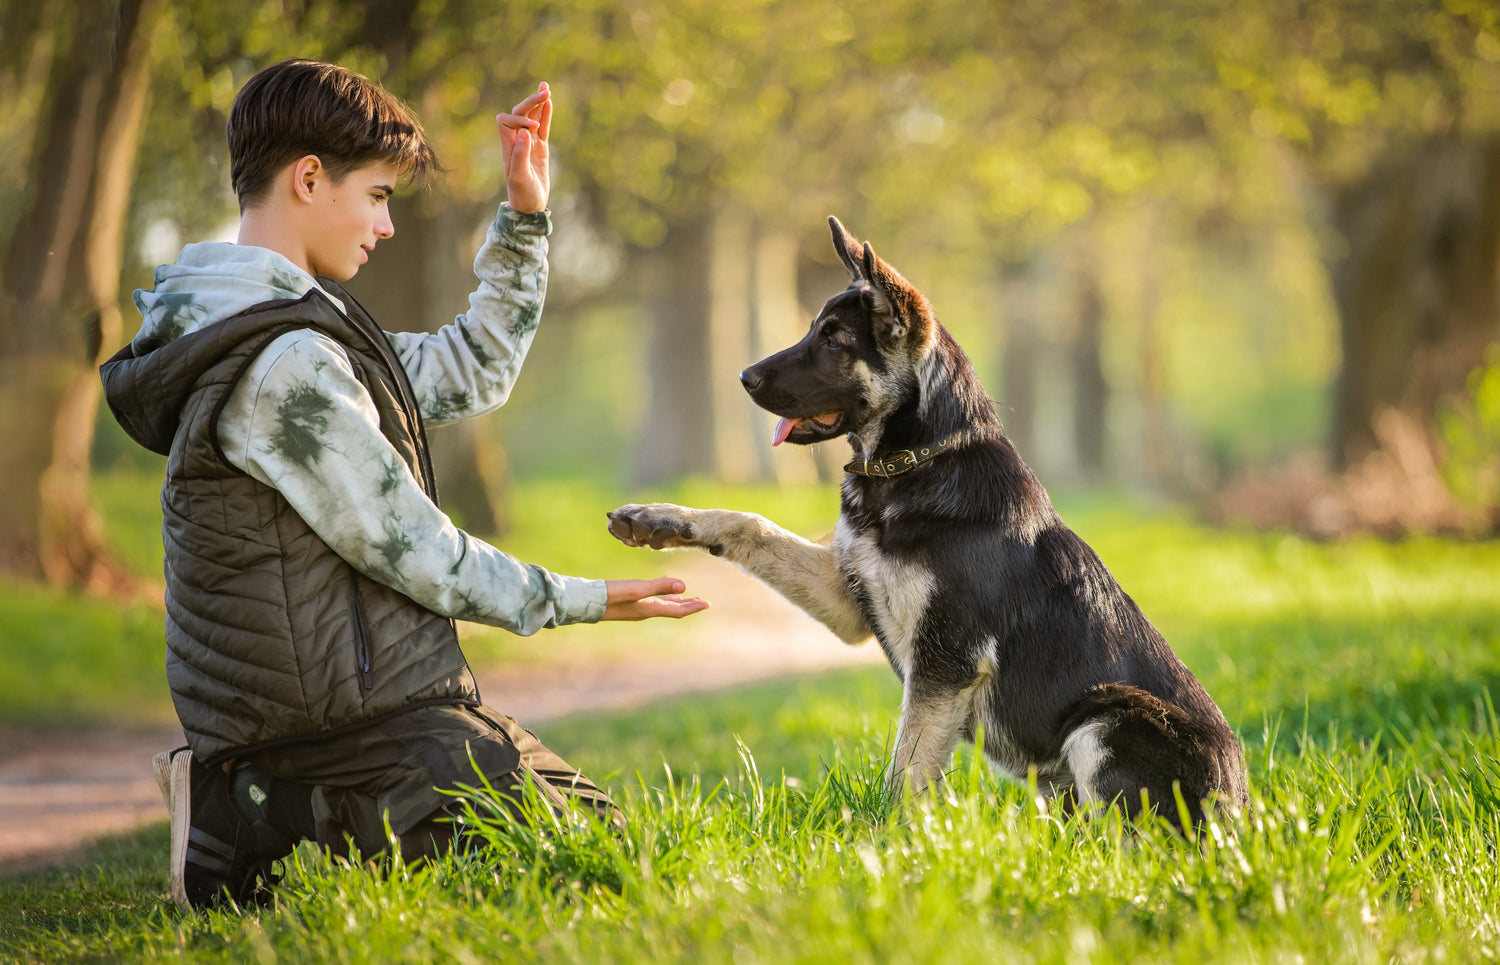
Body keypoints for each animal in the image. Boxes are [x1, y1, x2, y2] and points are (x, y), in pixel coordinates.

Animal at [603, 220, 1248, 828]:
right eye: (814, 330)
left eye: (834, 340)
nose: (743, 377)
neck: (913, 462)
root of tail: (1239, 813)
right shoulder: (849, 601)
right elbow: (751, 523)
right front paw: (659, 519)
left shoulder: (944, 666)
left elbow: (905, 772)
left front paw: (888, 841)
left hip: (1107, 717)